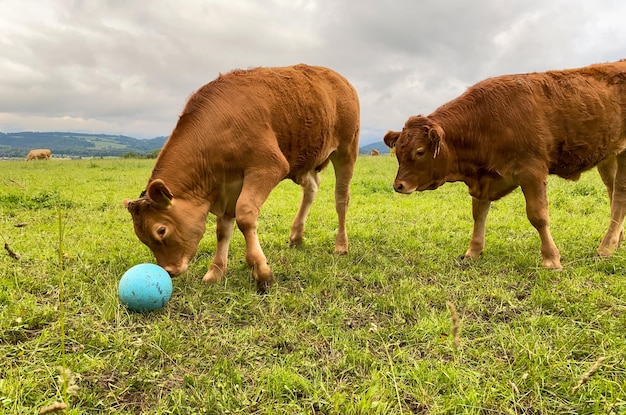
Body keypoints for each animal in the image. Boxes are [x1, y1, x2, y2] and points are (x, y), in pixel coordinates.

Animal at [124, 65, 358, 292]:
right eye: (142, 237)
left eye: (161, 230)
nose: (169, 271)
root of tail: (337, 77)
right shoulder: (227, 186)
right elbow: (222, 230)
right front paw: (215, 271)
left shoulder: (268, 166)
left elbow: (245, 216)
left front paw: (261, 272)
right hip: (304, 159)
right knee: (311, 188)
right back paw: (296, 236)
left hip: (346, 149)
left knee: (341, 198)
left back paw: (341, 245)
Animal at [382, 60, 620, 272]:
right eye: (399, 153)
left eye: (419, 151)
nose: (398, 185)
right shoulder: (482, 180)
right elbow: (478, 214)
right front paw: (473, 252)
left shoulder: (532, 171)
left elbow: (538, 216)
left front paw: (551, 259)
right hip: (610, 158)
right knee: (615, 193)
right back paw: (615, 241)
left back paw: (606, 248)